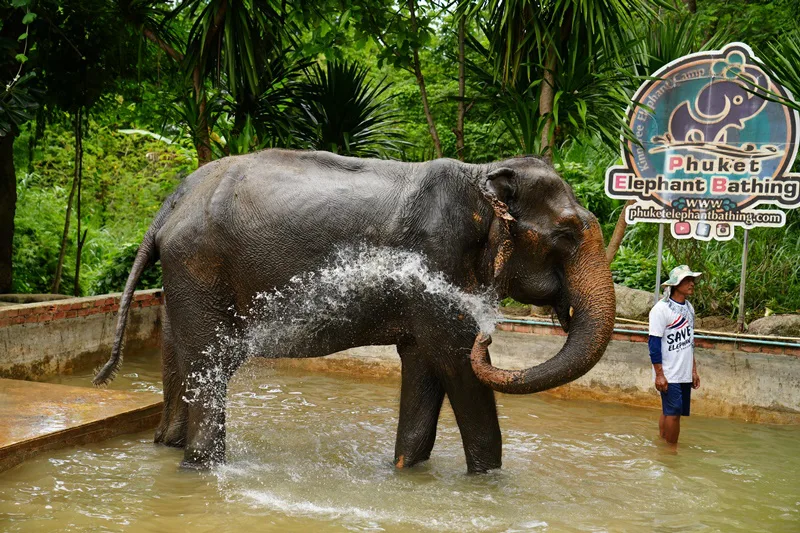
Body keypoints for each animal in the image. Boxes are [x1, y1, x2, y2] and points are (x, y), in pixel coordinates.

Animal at [94, 149, 615, 472]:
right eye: (566, 233)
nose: (489, 334)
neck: (481, 175)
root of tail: (169, 205)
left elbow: (423, 364)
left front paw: (405, 472)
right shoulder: (437, 263)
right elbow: (454, 360)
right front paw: (488, 484)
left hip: (182, 277)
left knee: (181, 361)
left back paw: (169, 446)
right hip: (199, 266)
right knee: (211, 363)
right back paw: (203, 468)